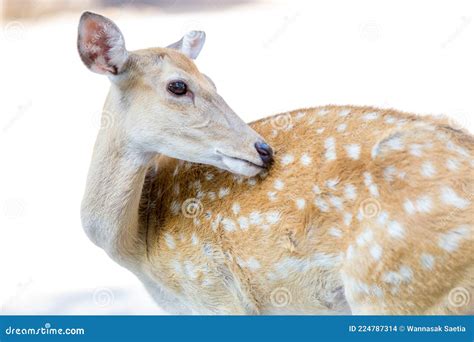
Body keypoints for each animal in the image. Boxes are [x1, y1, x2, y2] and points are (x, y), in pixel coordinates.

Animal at [78, 12, 474, 314]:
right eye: (178, 86)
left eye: (213, 81)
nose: (263, 149)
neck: (137, 248)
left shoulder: (216, 292)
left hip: (394, 284)